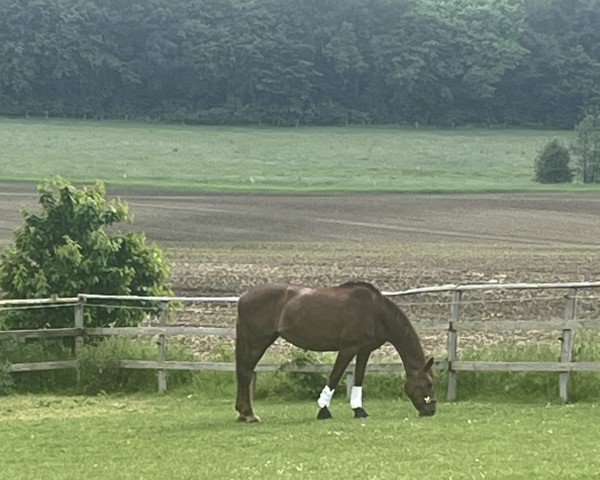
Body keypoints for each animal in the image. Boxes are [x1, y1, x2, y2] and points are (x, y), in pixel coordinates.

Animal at [234, 282, 436, 424]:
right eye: (428, 383)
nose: (432, 411)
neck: (374, 310)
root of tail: (243, 297)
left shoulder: (364, 350)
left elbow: (359, 378)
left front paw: (359, 410)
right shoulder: (348, 349)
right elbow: (334, 376)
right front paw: (324, 410)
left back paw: (243, 414)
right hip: (257, 342)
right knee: (245, 371)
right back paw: (249, 415)